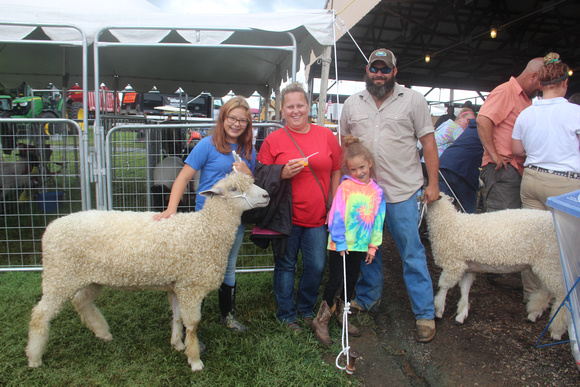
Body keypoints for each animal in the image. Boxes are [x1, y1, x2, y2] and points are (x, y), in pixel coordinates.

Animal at [26, 174, 270, 372]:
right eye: (233, 188)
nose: (267, 195)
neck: (206, 229)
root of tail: (51, 228)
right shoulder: (190, 286)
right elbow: (192, 325)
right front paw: (194, 360)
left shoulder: (177, 285)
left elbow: (177, 316)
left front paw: (177, 344)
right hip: (60, 276)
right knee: (40, 314)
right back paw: (34, 357)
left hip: (89, 277)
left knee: (81, 302)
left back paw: (103, 332)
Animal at [426, 196, 568, 342]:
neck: (448, 222)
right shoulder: (468, 267)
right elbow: (465, 289)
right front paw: (461, 314)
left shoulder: (454, 264)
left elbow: (443, 287)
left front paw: (439, 310)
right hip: (547, 264)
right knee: (547, 291)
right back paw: (534, 315)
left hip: (551, 261)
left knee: (562, 296)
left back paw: (557, 331)